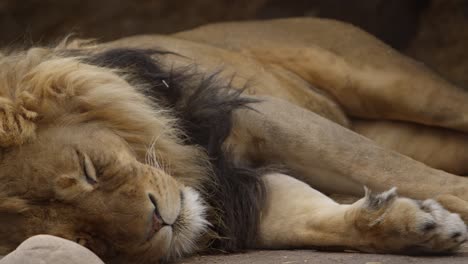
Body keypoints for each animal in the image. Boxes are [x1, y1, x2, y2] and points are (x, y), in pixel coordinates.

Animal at [0, 18, 468, 262]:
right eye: (85, 239)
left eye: (88, 170)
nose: (158, 222)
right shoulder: (240, 195)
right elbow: (309, 219)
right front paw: (416, 226)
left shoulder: (263, 115)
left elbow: (384, 165)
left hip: (397, 86)